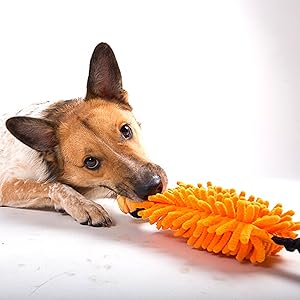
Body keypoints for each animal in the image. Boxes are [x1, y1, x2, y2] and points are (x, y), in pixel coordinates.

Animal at [0, 41, 168, 225]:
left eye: (126, 130)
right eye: (91, 162)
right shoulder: (7, 186)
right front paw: (85, 205)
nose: (154, 186)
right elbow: (54, 185)